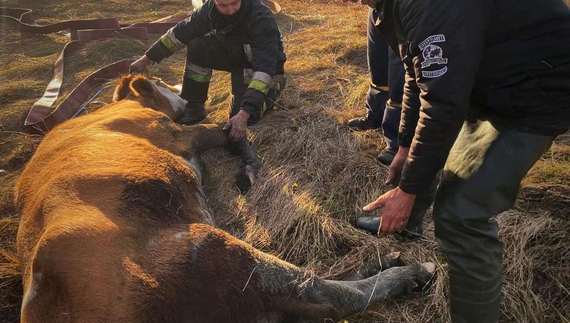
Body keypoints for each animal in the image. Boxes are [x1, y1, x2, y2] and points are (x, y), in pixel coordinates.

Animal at [15, 74, 432, 323]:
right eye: (161, 81)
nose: (183, 94)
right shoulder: (179, 134)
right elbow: (228, 129)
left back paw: (387, 260)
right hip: (214, 248)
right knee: (319, 293)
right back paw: (411, 271)